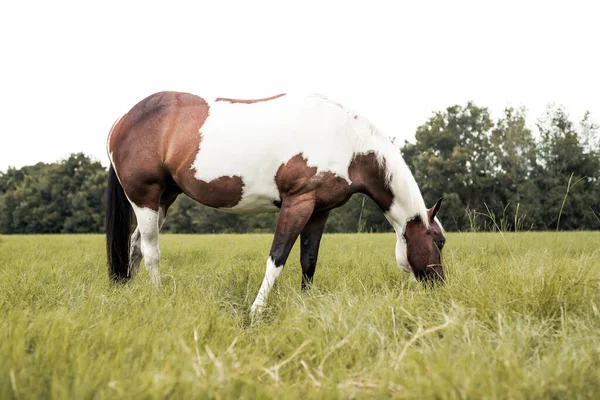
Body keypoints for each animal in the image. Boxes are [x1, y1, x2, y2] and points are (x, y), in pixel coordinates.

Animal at [105, 92, 448, 314]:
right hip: (145, 198)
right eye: (440, 242)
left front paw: (306, 305)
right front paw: (256, 312)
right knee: (150, 250)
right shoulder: (297, 203)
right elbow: (277, 259)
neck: (348, 141)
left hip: (164, 198)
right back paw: (159, 295)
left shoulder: (319, 211)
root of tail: (121, 120)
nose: (442, 288)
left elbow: (309, 261)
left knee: (135, 245)